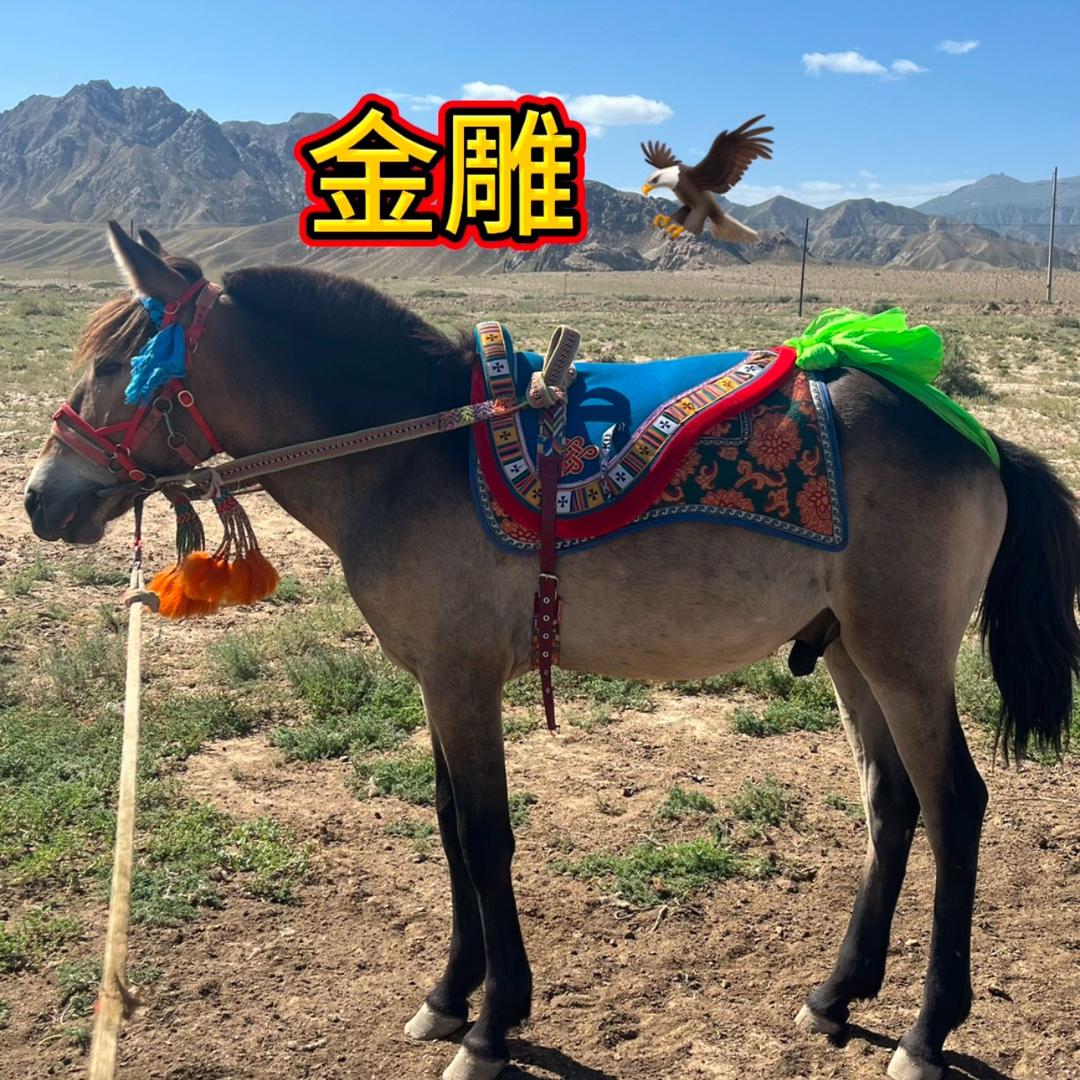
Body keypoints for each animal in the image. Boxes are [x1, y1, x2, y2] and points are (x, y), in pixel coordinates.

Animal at [23, 223, 1080, 1080]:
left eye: (118, 369)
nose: (40, 497)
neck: (410, 452)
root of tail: (985, 441)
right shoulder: (436, 679)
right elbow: (450, 825)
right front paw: (448, 998)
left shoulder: (461, 681)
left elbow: (487, 836)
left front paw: (493, 1027)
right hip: (853, 655)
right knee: (891, 804)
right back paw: (834, 995)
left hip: (906, 659)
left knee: (956, 808)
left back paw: (927, 1031)